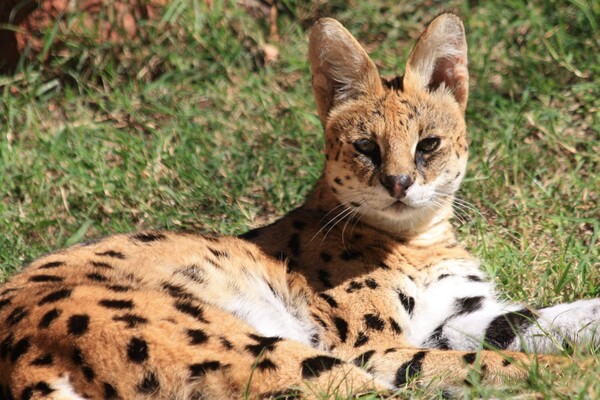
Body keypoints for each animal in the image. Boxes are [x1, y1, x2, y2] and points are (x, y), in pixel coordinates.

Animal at [1, 12, 600, 400]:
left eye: (427, 145)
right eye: (367, 147)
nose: (400, 183)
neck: (420, 235)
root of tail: (22, 354)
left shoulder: (452, 314)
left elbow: (537, 322)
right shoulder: (374, 347)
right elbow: (497, 360)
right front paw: (579, 378)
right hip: (271, 353)